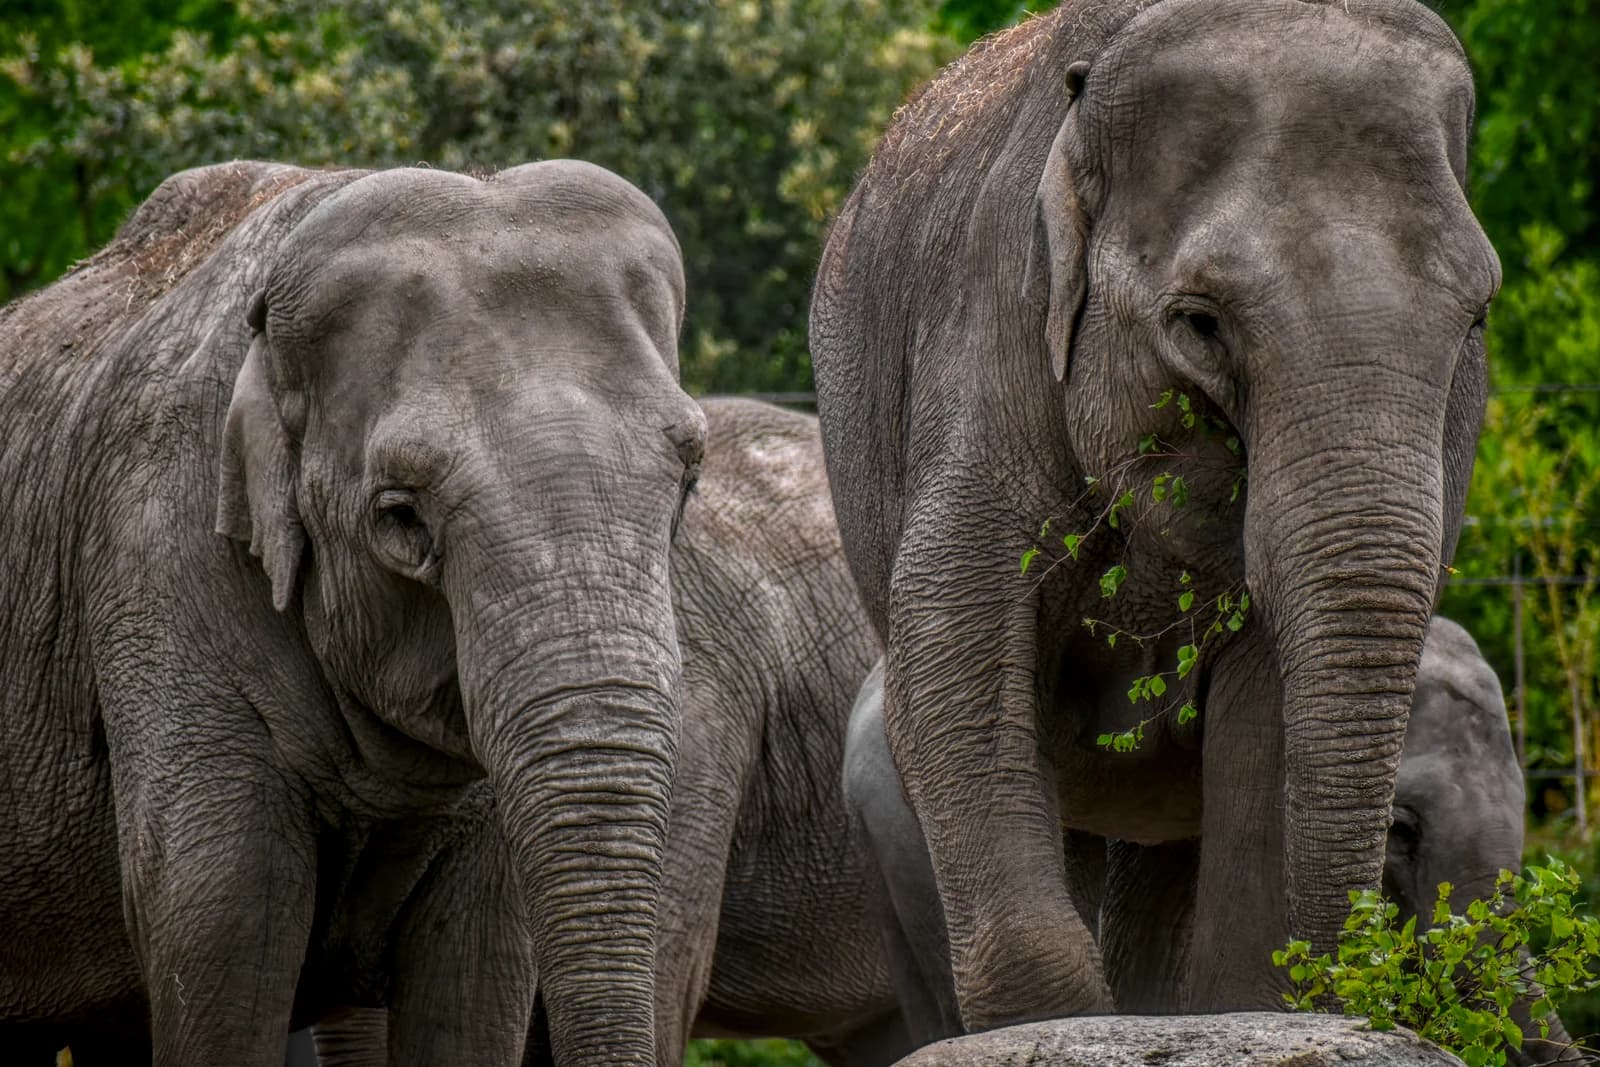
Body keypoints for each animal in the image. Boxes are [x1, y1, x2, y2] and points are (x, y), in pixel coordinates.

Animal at [809, 0, 1500, 1030]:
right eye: (1200, 324)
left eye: (1476, 320)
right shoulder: (991, 322)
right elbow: (954, 632)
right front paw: (1051, 1023)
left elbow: (1268, 700)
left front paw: (1248, 1006)